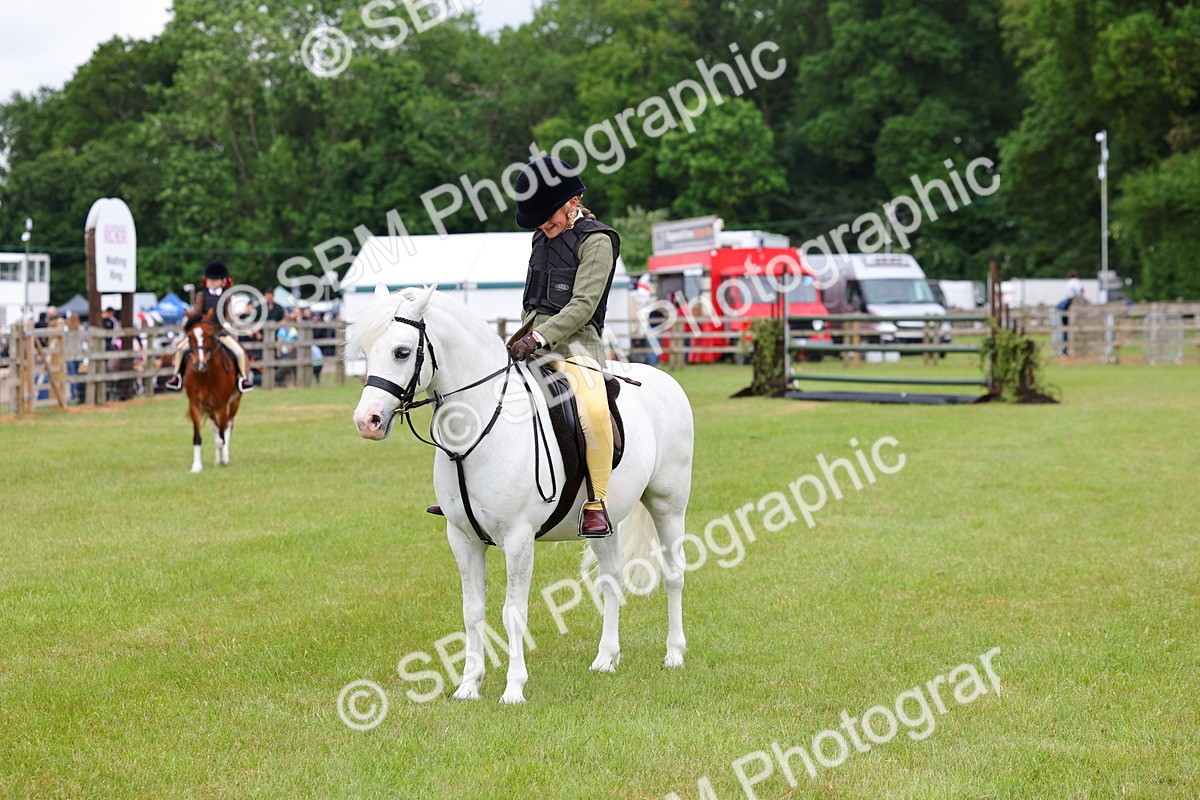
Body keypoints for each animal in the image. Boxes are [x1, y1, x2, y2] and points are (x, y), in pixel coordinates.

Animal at [182, 312, 242, 473]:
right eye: (189, 336)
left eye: (209, 335)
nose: (199, 365)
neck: (205, 375)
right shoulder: (195, 404)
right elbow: (198, 436)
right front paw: (196, 466)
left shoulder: (222, 404)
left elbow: (222, 437)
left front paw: (222, 459)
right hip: (209, 407)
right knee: (215, 426)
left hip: (234, 402)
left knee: (228, 425)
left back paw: (224, 457)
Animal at [348, 285, 694, 704]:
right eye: (367, 352)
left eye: (401, 351)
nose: (367, 421)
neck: (479, 426)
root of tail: (664, 379)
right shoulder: (462, 539)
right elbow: (472, 611)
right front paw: (468, 686)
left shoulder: (518, 539)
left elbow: (513, 612)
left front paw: (514, 689)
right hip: (603, 522)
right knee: (611, 578)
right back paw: (605, 658)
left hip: (668, 505)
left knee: (673, 574)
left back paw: (674, 654)